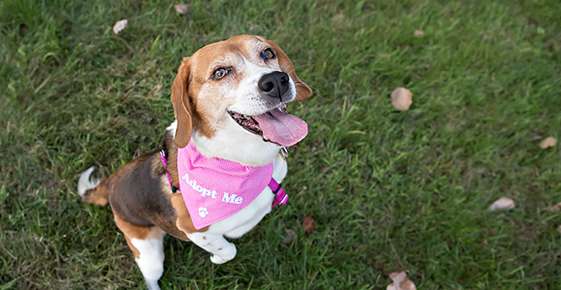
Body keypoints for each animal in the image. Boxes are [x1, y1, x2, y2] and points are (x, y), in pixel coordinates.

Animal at [75, 35, 310, 290]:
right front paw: (217, 257)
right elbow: (228, 250)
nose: (277, 81)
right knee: (150, 277)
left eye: (267, 53)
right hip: (148, 253)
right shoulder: (193, 229)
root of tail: (111, 183)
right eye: (220, 72)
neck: (239, 160)